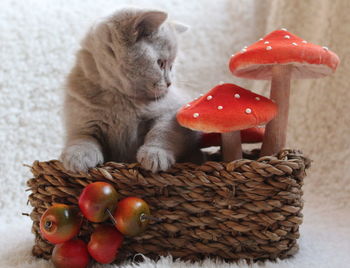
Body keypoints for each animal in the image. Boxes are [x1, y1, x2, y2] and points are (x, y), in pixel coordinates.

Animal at [60, 8, 202, 174]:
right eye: (160, 63)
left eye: (171, 66)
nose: (169, 83)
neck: (121, 97)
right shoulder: (82, 120)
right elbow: (82, 138)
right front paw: (78, 157)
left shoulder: (171, 111)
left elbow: (163, 131)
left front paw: (155, 154)